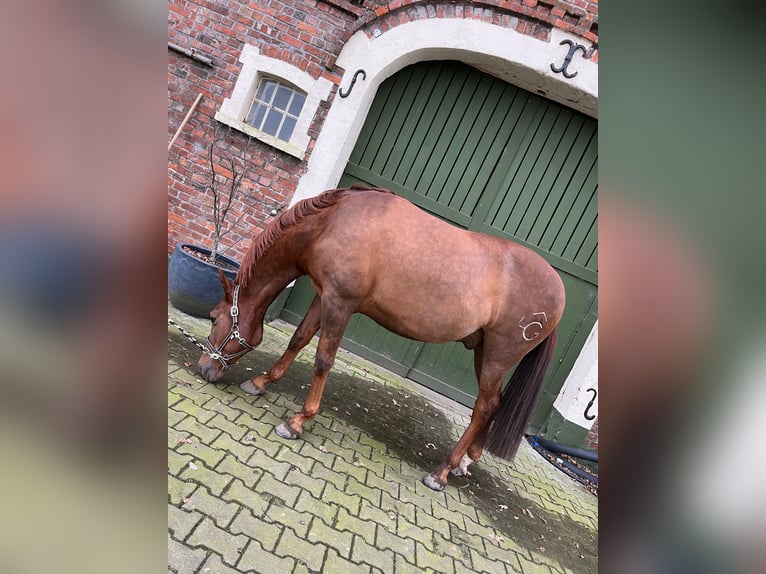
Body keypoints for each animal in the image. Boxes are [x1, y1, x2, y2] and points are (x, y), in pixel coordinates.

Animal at [201, 187, 568, 492]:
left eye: (214, 317)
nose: (205, 367)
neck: (332, 223)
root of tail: (557, 288)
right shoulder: (324, 295)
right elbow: (299, 339)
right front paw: (261, 382)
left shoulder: (340, 303)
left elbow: (323, 359)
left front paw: (297, 421)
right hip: (484, 351)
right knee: (492, 404)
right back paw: (467, 460)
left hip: (496, 356)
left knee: (484, 407)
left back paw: (441, 472)